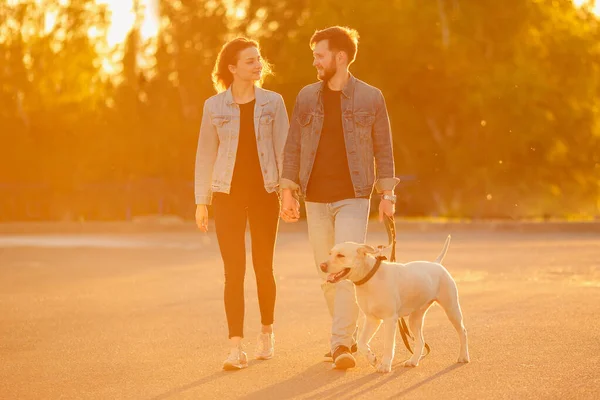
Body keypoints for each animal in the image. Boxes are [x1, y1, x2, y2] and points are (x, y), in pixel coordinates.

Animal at [322, 236, 472, 374]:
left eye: (341, 255)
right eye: (330, 253)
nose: (322, 266)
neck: (370, 277)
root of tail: (437, 264)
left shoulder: (389, 320)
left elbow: (388, 345)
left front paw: (385, 365)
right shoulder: (372, 319)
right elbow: (362, 342)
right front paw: (372, 358)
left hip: (451, 309)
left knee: (462, 332)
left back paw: (463, 356)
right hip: (415, 319)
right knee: (421, 341)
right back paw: (413, 361)